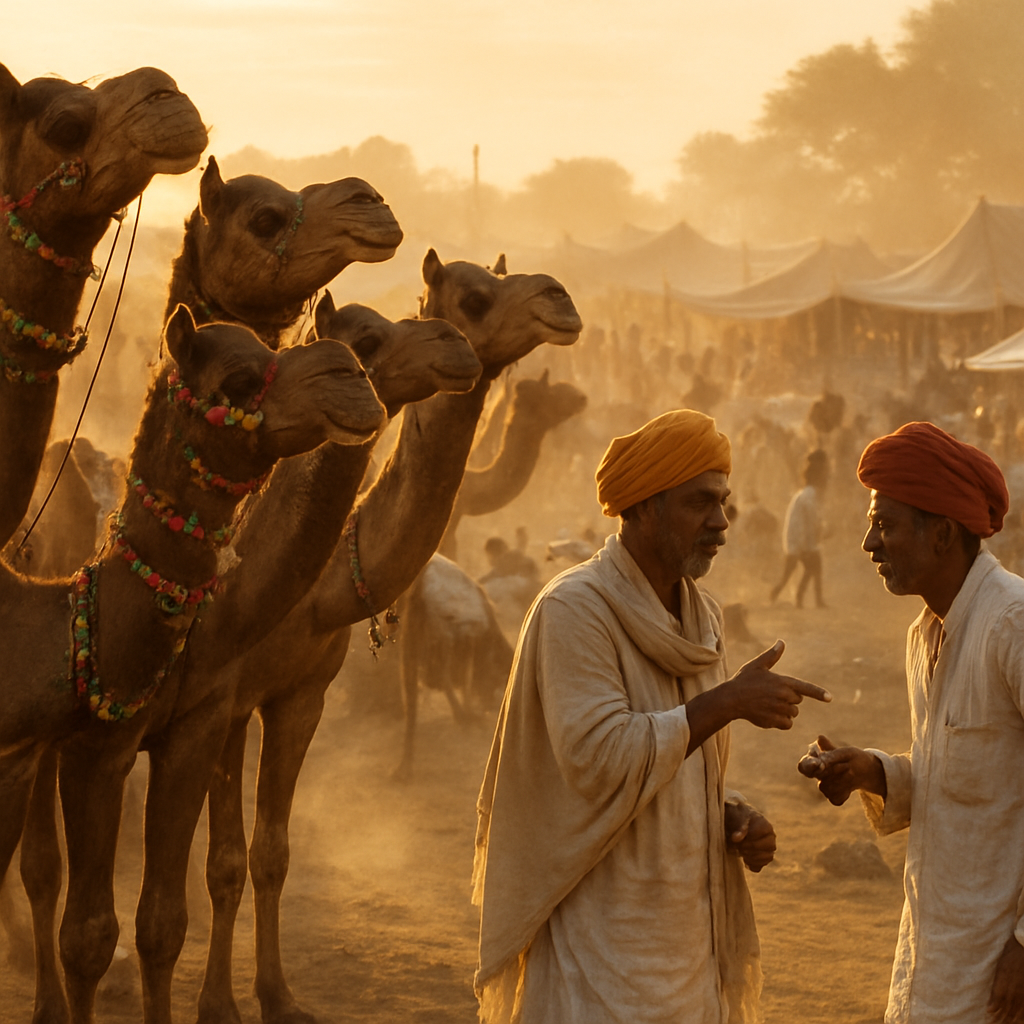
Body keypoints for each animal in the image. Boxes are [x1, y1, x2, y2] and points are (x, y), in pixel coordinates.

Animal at [0, 305, 385, 1021]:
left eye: (271, 345)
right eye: (237, 380)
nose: (351, 375)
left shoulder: (193, 731)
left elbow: (161, 922)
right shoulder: (96, 747)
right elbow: (87, 936)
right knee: (42, 871)